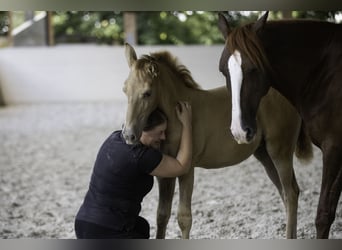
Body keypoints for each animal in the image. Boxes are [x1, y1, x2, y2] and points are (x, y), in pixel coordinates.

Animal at [123, 43, 312, 238]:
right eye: (125, 89)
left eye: (147, 93)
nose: (128, 135)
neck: (178, 114)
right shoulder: (164, 173)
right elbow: (162, 215)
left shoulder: (187, 169)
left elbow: (184, 217)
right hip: (265, 155)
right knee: (287, 193)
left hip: (280, 151)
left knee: (290, 193)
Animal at [219, 11, 342, 238]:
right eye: (223, 71)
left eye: (254, 69)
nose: (240, 131)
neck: (323, 72)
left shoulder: (333, 148)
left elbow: (323, 215)